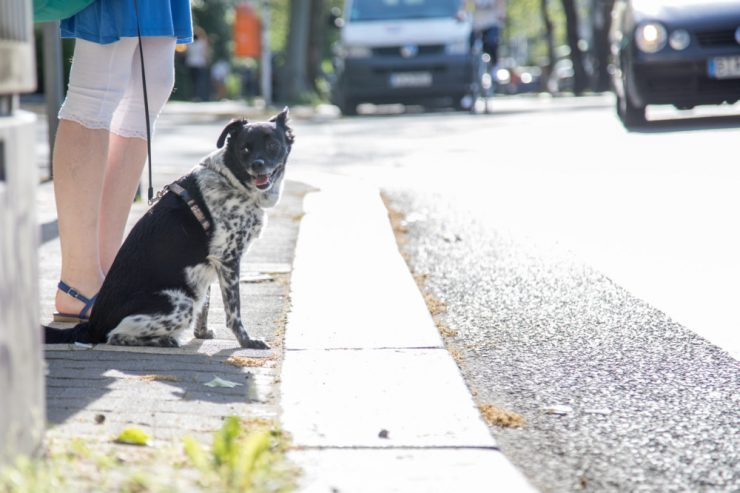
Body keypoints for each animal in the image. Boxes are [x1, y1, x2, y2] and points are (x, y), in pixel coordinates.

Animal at [44, 108, 294, 346]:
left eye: (272, 145)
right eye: (245, 149)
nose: (258, 165)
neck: (231, 180)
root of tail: (91, 325)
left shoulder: (208, 266)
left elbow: (206, 304)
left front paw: (202, 334)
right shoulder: (228, 260)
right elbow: (234, 311)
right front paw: (246, 341)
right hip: (182, 302)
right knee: (114, 335)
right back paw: (164, 340)